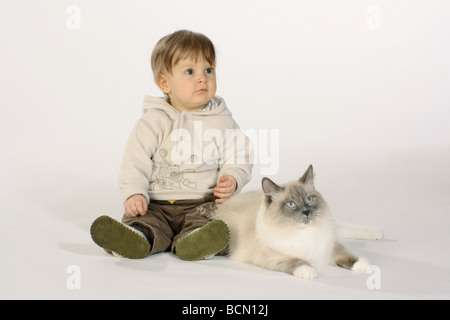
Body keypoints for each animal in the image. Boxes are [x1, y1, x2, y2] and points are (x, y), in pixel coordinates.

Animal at [213, 165, 382, 278]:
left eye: (309, 199)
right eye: (291, 204)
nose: (306, 212)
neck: (305, 233)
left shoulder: (329, 244)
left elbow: (346, 254)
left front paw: (362, 265)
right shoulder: (274, 257)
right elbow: (297, 262)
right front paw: (309, 271)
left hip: (331, 225)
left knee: (344, 227)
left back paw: (378, 233)